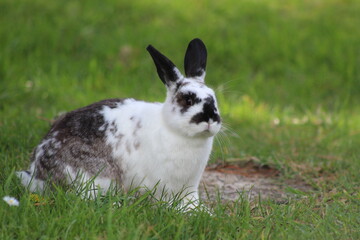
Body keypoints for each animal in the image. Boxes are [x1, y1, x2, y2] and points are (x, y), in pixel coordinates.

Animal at [17, 38, 222, 209]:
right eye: (188, 100)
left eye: (214, 98)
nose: (210, 120)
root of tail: (38, 172)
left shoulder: (189, 188)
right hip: (96, 177)